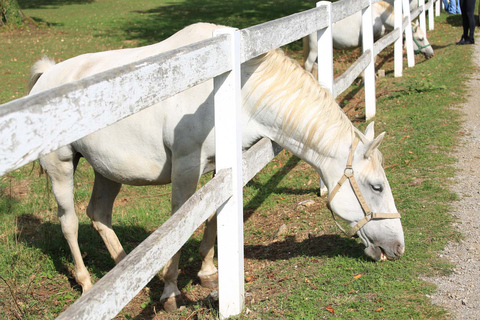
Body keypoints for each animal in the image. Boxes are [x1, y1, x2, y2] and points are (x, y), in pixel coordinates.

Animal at [29, 22, 404, 312]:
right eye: (376, 186)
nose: (397, 247)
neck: (235, 90)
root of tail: (47, 76)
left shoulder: (219, 166)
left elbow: (211, 218)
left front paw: (207, 271)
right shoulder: (186, 168)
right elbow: (181, 224)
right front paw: (170, 292)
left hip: (108, 170)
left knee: (99, 214)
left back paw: (130, 272)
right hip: (62, 167)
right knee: (70, 223)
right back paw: (88, 285)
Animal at [304, 0, 436, 73]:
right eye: (420, 39)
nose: (431, 53)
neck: (379, 15)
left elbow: (375, 57)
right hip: (314, 50)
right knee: (308, 65)